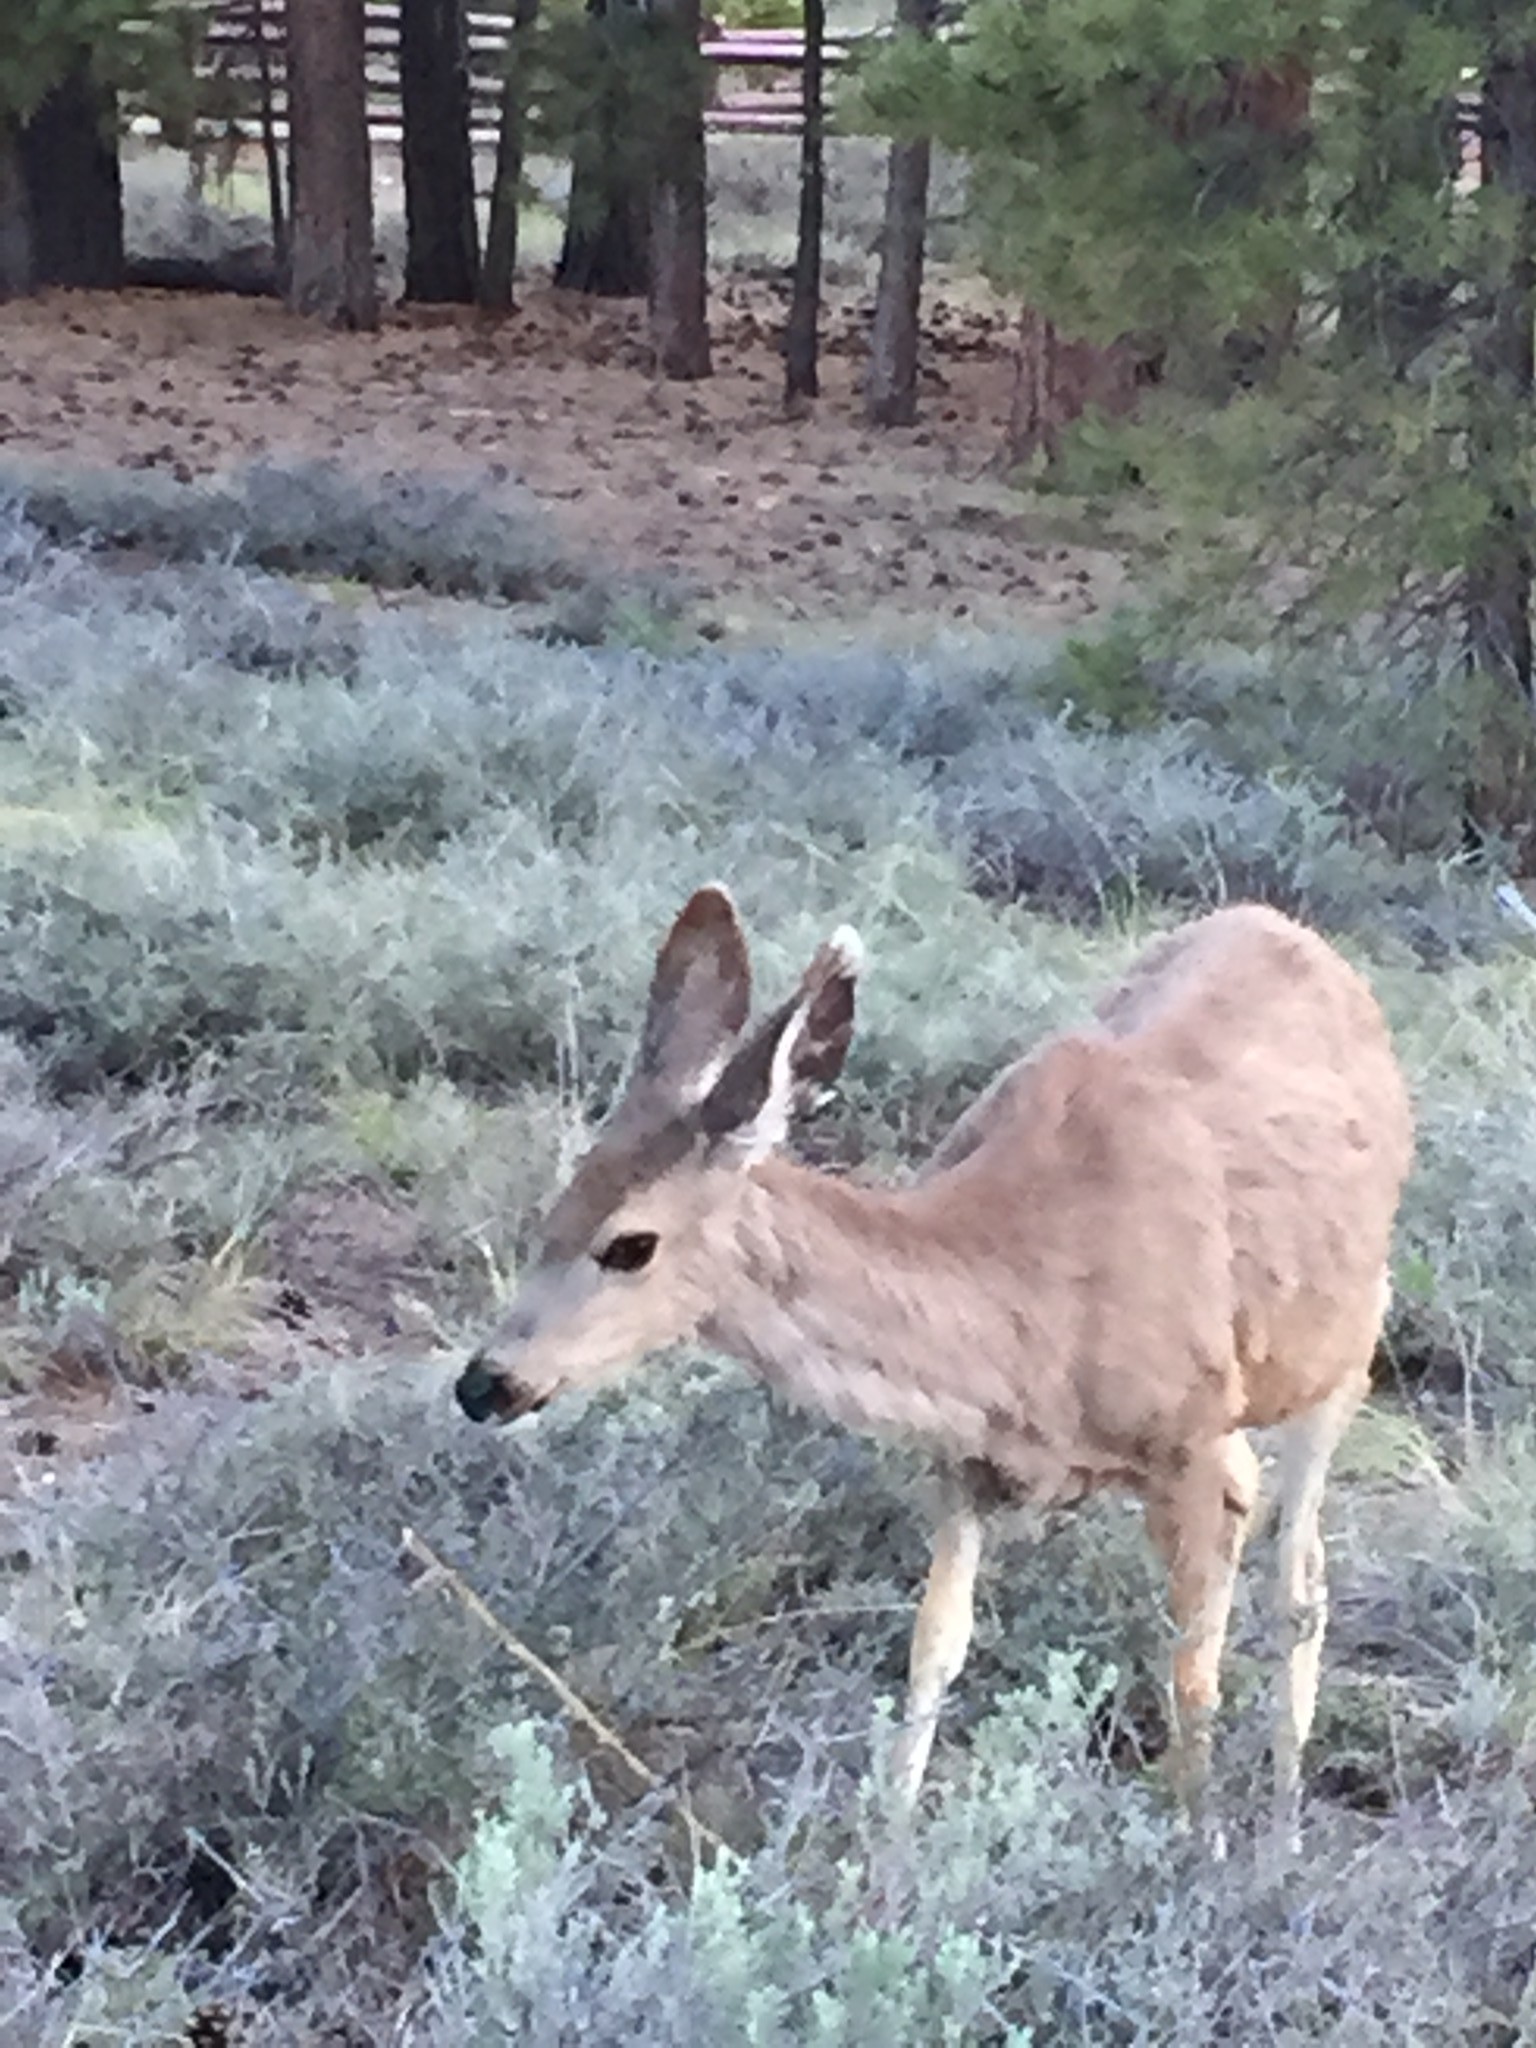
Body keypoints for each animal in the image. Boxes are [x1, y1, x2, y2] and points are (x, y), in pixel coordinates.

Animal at [456, 888, 1417, 1835]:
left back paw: (1285, 1814)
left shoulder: (1185, 1439)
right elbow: (934, 1652)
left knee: (1301, 1581)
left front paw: (1198, 1848)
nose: (483, 1384)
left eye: (630, 1245)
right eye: (554, 1211)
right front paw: (887, 1856)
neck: (1028, 1307)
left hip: (1344, 1343)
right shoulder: (966, 1461)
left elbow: (1191, 1669)